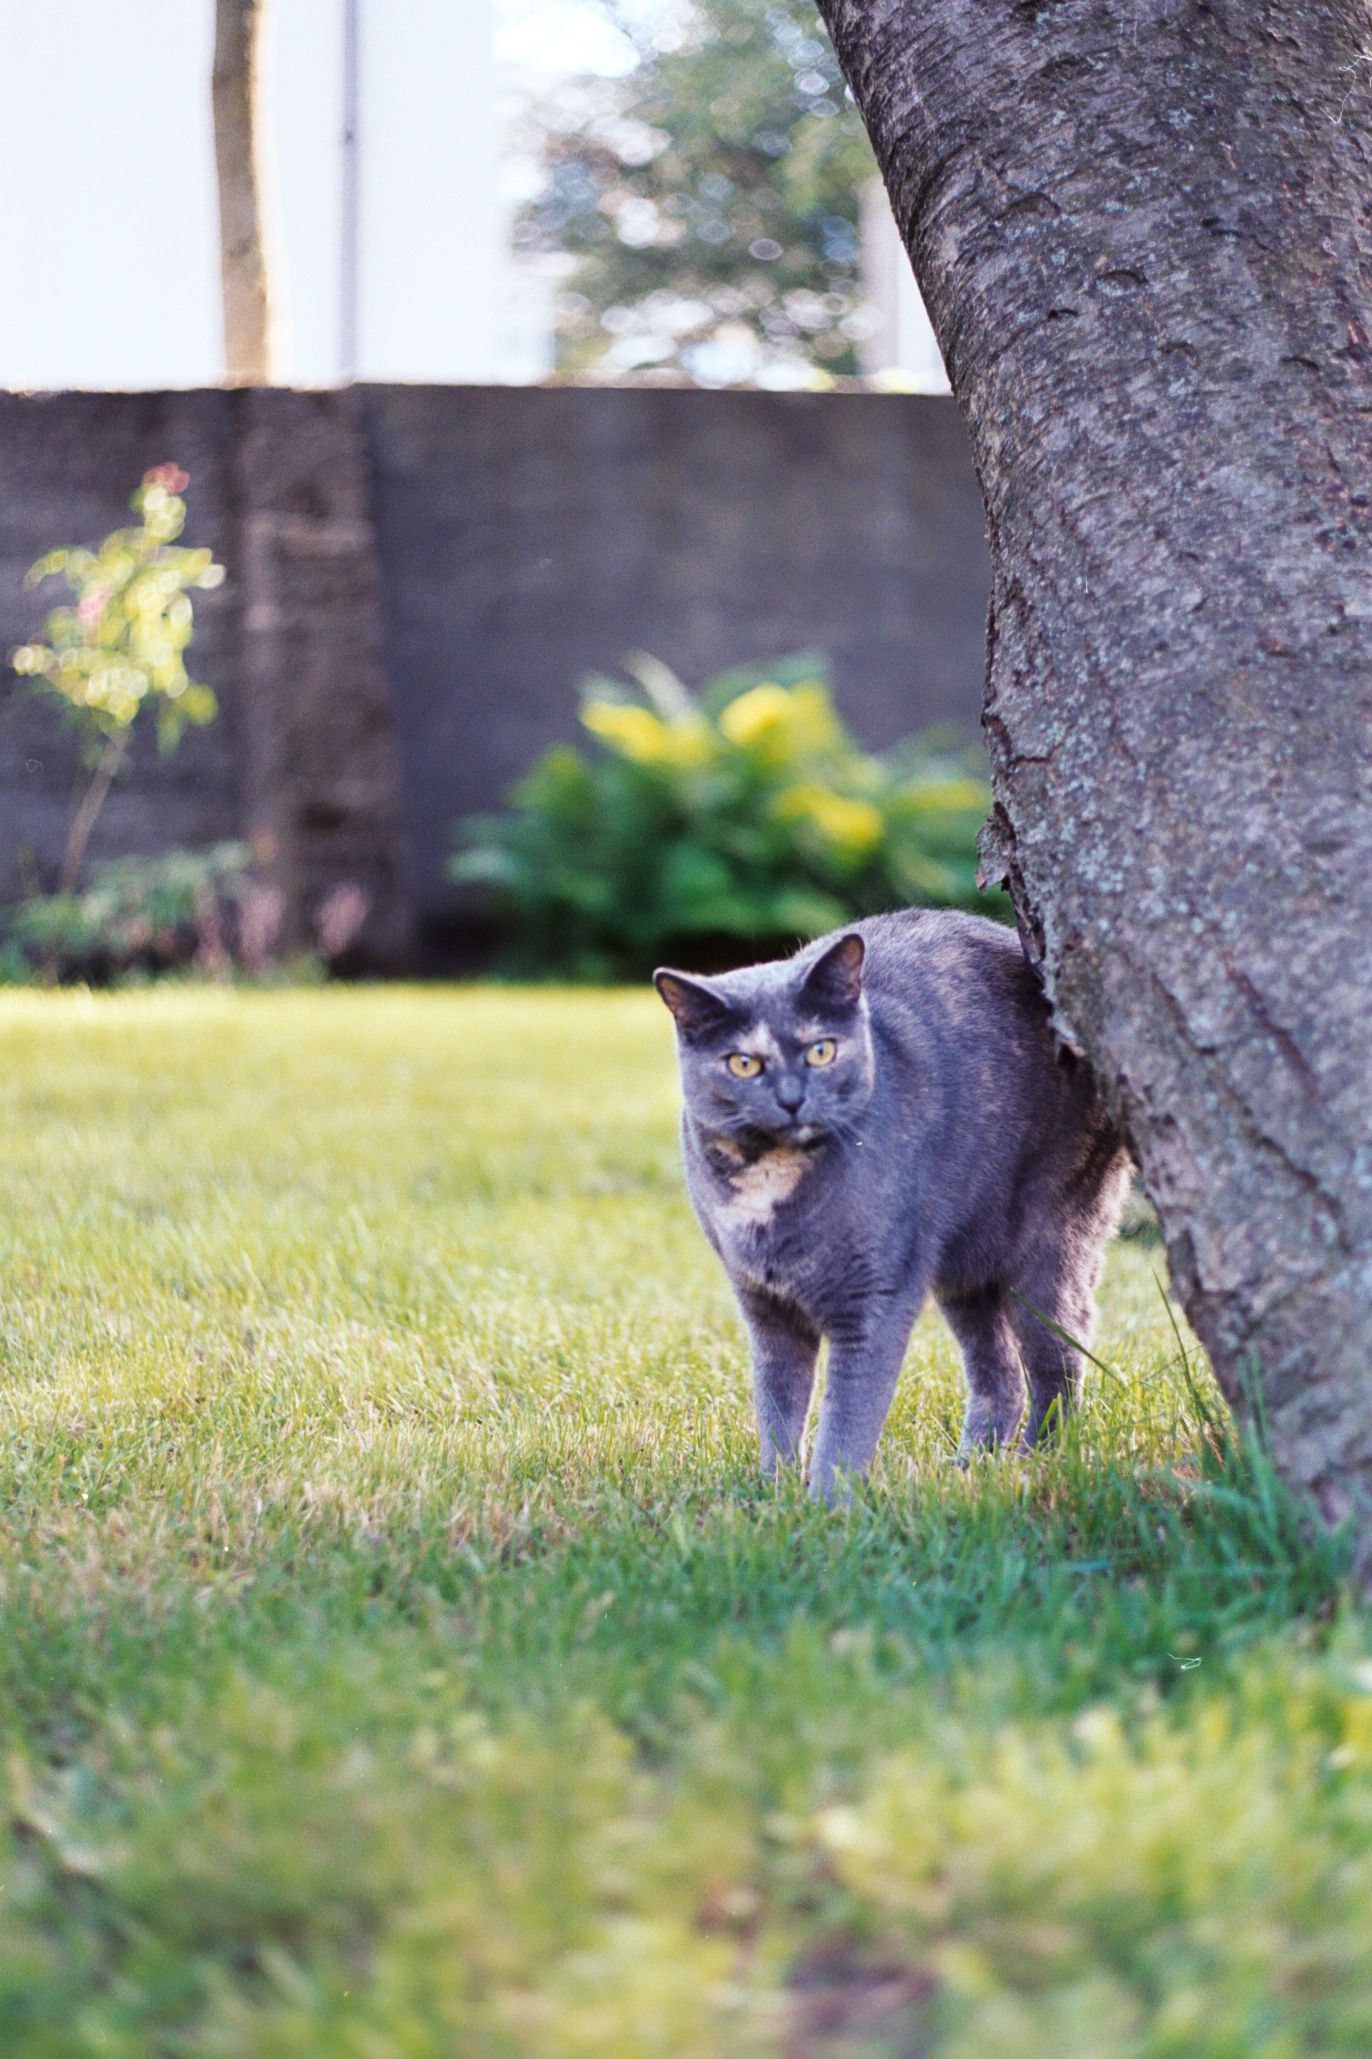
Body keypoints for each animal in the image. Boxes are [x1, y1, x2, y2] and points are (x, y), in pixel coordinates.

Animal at [659, 914, 1128, 1498]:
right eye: (743, 1063)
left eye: (821, 1051)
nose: (791, 1099)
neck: (772, 1180)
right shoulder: (763, 1304)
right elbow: (776, 1404)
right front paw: (775, 1491)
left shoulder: (875, 1298)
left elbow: (848, 1418)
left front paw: (826, 1505)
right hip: (964, 1270)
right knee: (999, 1372)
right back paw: (971, 1466)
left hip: (1048, 1244)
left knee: (1060, 1359)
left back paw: (1035, 1462)